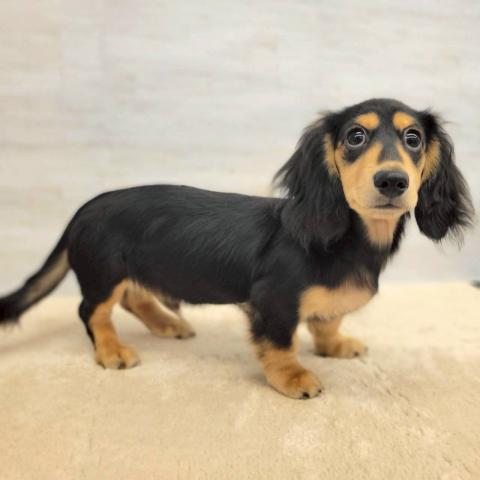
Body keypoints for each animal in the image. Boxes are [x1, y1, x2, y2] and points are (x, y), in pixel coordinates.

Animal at [0, 98, 474, 399]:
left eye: (413, 138)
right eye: (356, 136)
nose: (393, 181)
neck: (350, 239)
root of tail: (84, 208)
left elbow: (327, 321)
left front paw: (336, 344)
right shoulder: (274, 300)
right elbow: (281, 343)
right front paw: (292, 377)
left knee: (134, 297)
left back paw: (167, 324)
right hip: (103, 271)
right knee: (93, 311)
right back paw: (111, 351)